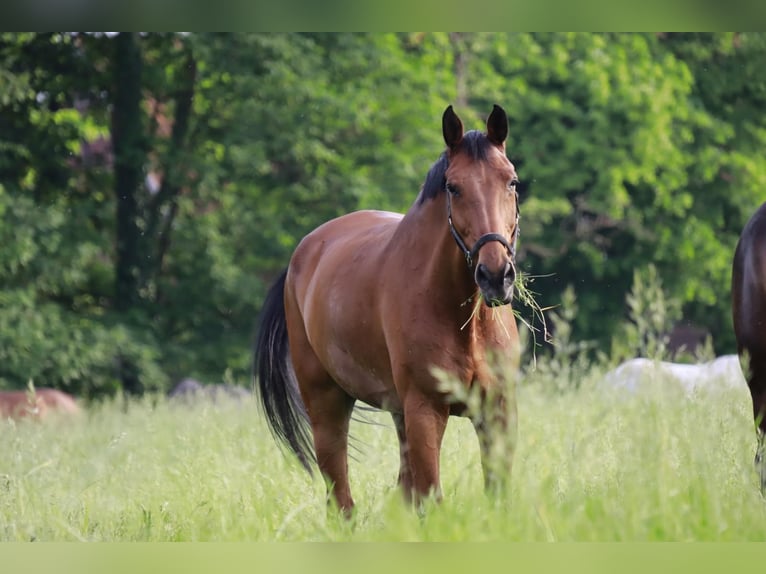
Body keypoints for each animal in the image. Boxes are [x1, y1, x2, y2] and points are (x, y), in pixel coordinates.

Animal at [254, 104, 521, 515]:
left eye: (511, 182)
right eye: (453, 187)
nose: (495, 275)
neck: (465, 322)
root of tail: (303, 254)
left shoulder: (497, 410)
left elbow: (496, 494)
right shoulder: (425, 411)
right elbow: (431, 497)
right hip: (328, 405)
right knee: (341, 497)